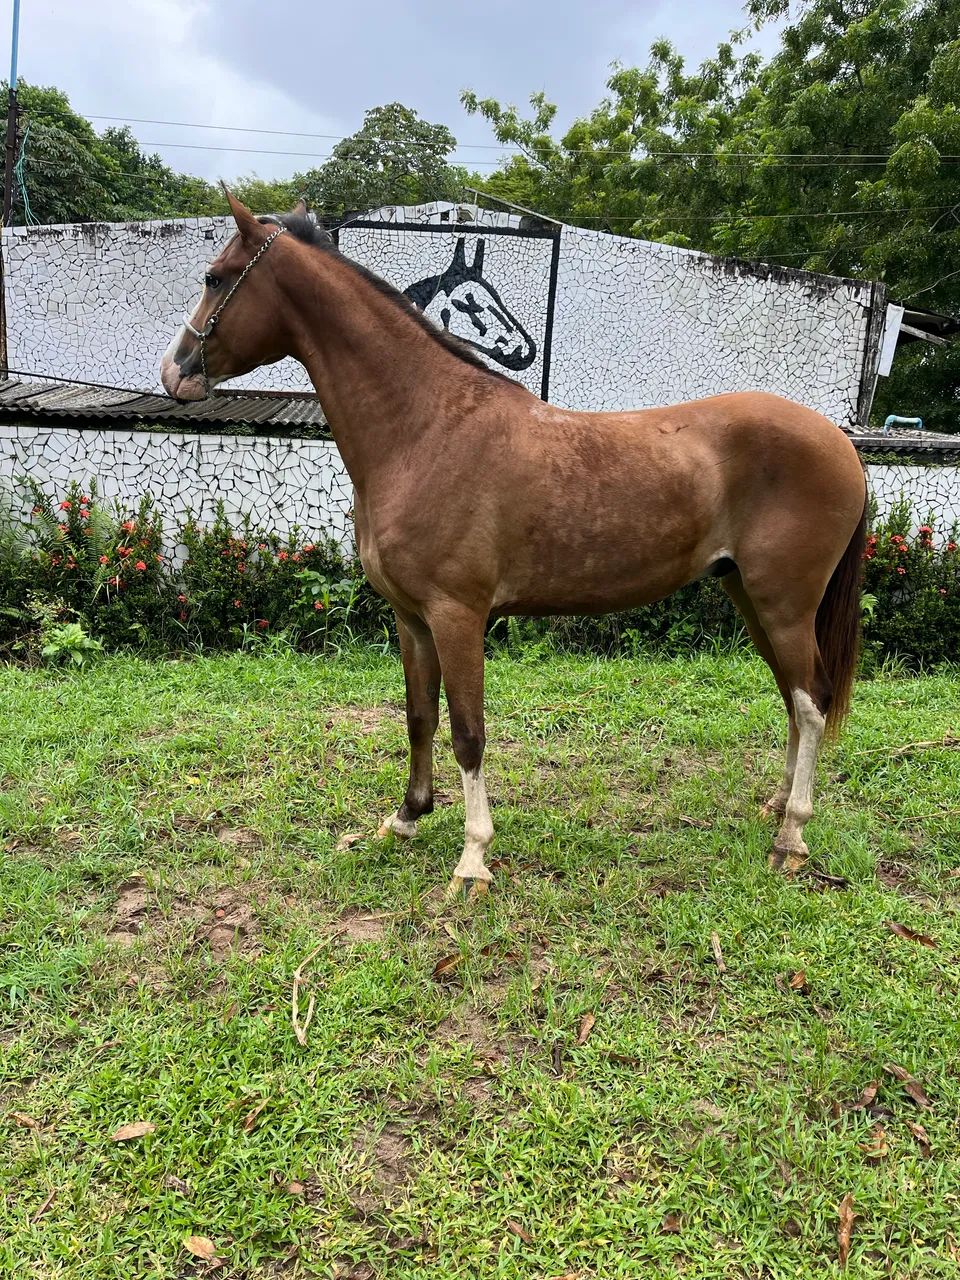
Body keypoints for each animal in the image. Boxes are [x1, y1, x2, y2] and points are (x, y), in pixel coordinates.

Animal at [161, 194, 867, 897]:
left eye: (215, 278)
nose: (174, 372)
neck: (426, 428)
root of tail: (840, 442)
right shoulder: (412, 619)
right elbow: (420, 717)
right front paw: (406, 819)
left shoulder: (457, 615)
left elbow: (468, 731)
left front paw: (473, 859)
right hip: (749, 596)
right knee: (794, 697)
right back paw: (777, 806)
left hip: (783, 604)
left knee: (811, 704)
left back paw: (792, 837)